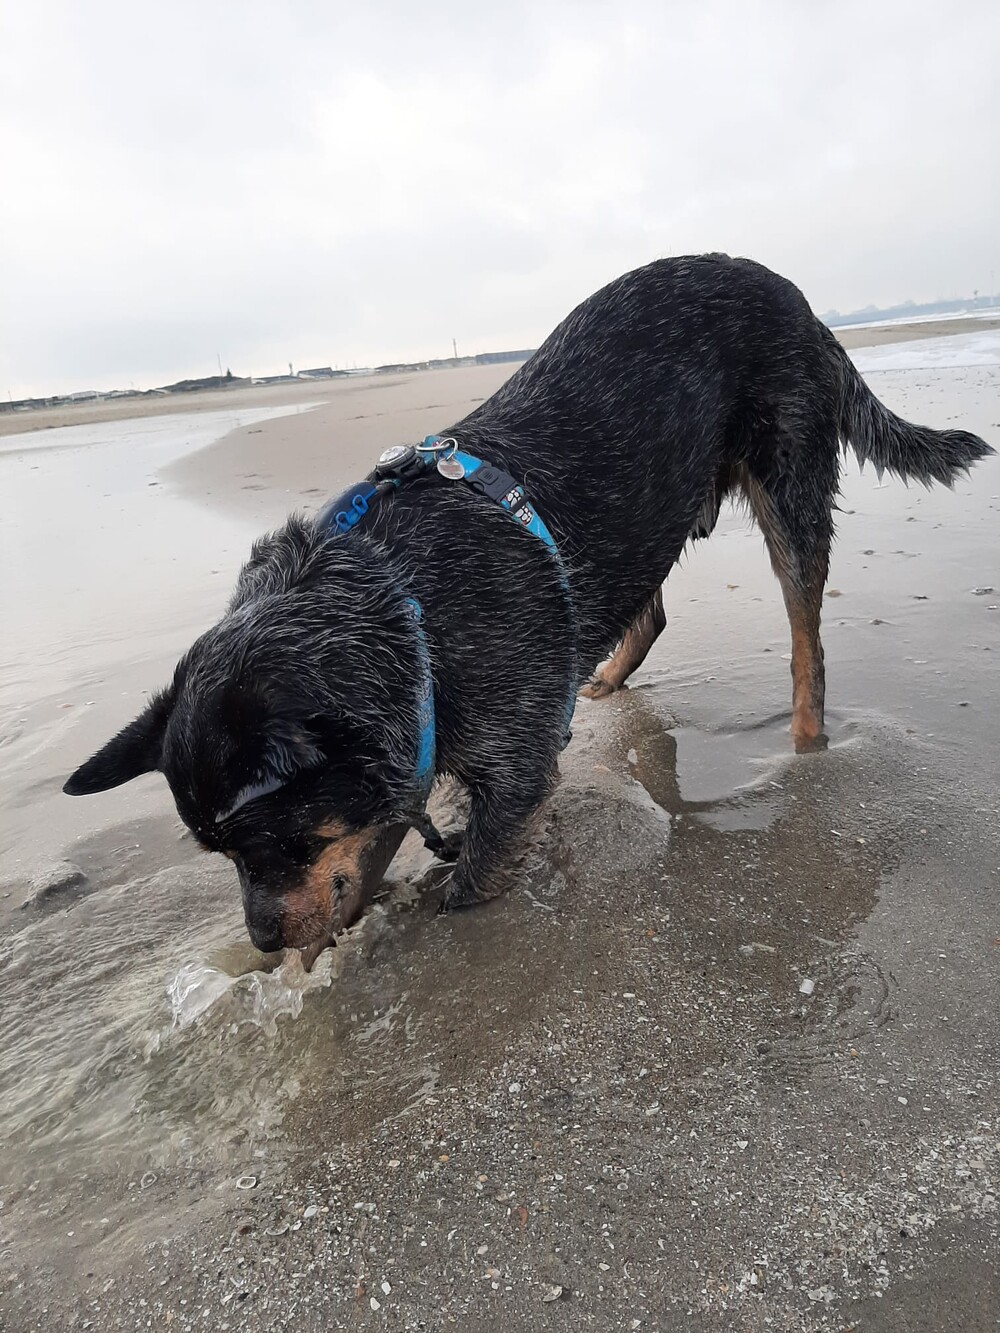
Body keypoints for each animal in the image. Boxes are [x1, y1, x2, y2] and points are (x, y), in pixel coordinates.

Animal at [64, 254, 993, 957]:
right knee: (648, 611)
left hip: (789, 484)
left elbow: (466, 878)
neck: (405, 608)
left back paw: (805, 741)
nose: (260, 941)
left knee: (808, 640)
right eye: (216, 852)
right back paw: (608, 675)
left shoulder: (510, 768)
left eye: (275, 841)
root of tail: (798, 296)